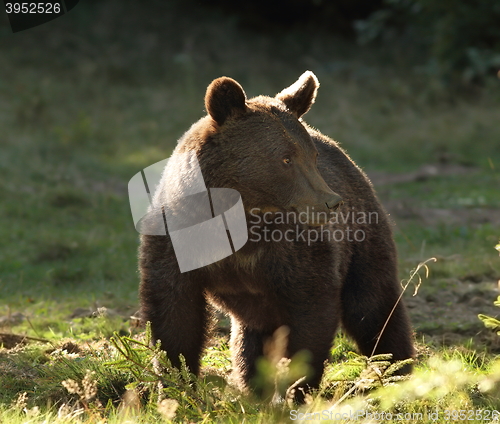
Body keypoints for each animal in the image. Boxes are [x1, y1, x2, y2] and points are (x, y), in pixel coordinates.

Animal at [139, 70, 416, 400]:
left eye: (311, 156)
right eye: (285, 159)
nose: (331, 202)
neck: (239, 219)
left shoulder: (296, 252)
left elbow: (313, 311)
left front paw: (297, 389)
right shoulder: (177, 242)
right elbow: (174, 316)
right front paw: (176, 388)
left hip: (363, 238)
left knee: (373, 303)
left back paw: (396, 369)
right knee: (250, 336)